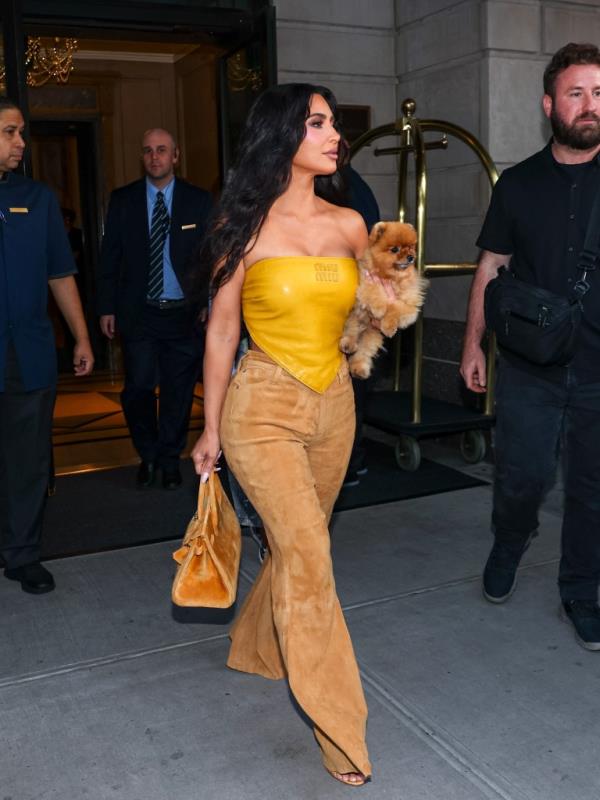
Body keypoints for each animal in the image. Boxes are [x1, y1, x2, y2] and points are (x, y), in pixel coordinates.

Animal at [340, 220, 428, 380]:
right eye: (395, 249)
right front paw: (379, 308)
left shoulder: (411, 307)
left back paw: (359, 369)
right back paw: (348, 344)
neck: (391, 277)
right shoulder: (365, 284)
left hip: (371, 336)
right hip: (354, 318)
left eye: (411, 247)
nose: (411, 256)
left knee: (363, 352)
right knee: (351, 332)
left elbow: (395, 306)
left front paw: (388, 326)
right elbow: (376, 292)